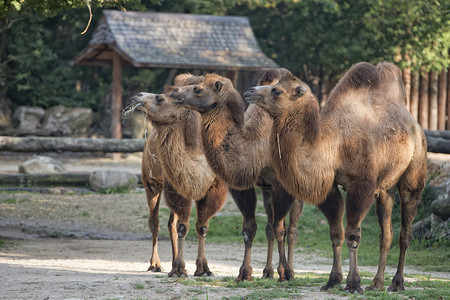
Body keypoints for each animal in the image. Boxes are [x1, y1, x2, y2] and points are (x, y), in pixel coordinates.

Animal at [132, 74, 227, 276]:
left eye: (160, 98)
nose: (138, 95)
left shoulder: (214, 188)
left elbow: (202, 227)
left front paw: (203, 269)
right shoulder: (175, 186)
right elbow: (183, 227)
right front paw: (179, 269)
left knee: (171, 224)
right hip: (150, 182)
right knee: (155, 221)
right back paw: (156, 264)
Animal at [169, 71, 344, 284]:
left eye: (198, 89)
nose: (174, 91)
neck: (256, 145)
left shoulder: (282, 184)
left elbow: (280, 229)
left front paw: (285, 272)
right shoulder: (245, 185)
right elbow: (250, 228)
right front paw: (244, 272)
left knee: (291, 230)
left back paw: (290, 271)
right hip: (267, 189)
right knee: (269, 226)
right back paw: (268, 271)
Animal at [244, 62, 428, 292]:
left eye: (276, 90)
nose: (249, 91)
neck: (335, 145)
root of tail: (415, 125)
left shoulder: (362, 184)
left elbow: (352, 234)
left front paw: (353, 282)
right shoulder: (330, 186)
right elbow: (336, 233)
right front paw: (333, 280)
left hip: (414, 172)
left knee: (405, 230)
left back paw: (397, 282)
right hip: (386, 187)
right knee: (386, 234)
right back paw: (376, 283)